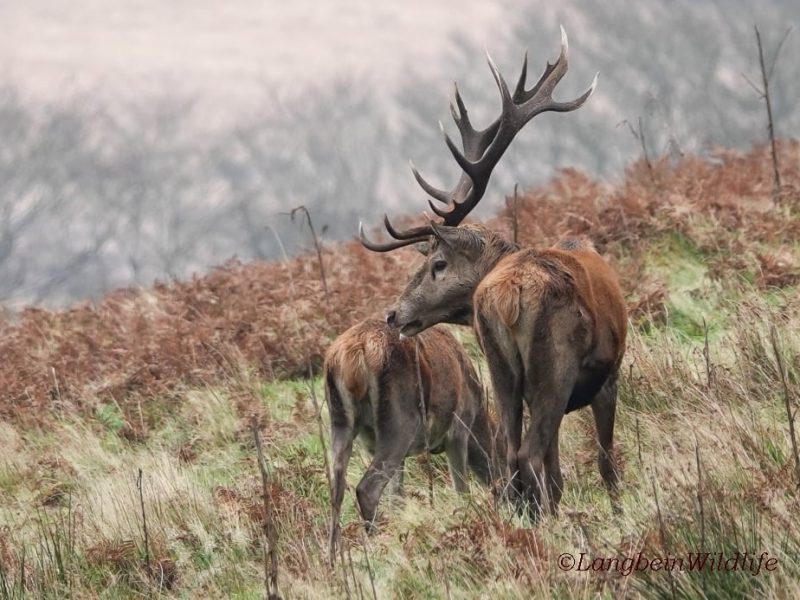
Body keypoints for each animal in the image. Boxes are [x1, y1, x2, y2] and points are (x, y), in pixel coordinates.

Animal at [324, 318, 500, 564]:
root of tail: (351, 355)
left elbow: (397, 496)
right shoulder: (458, 429)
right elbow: (461, 489)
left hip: (340, 420)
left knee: (336, 490)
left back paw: (332, 558)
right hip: (400, 420)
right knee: (367, 488)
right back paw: (377, 547)